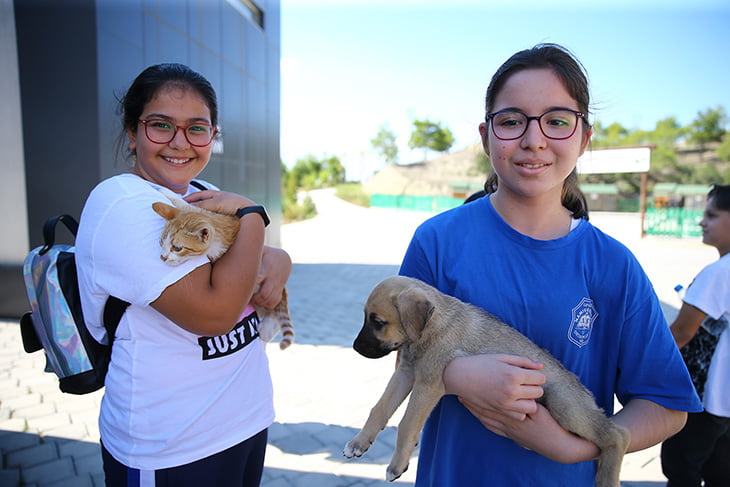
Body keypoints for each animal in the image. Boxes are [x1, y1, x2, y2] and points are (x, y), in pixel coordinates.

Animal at [344, 276, 628, 486]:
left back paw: (607, 478)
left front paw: (397, 465)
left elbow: (406, 424)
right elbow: (380, 409)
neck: (434, 326)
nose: (355, 347)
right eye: (366, 317)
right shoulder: (406, 372)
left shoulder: (428, 382)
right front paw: (359, 443)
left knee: (618, 435)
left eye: (379, 322)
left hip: (564, 405)